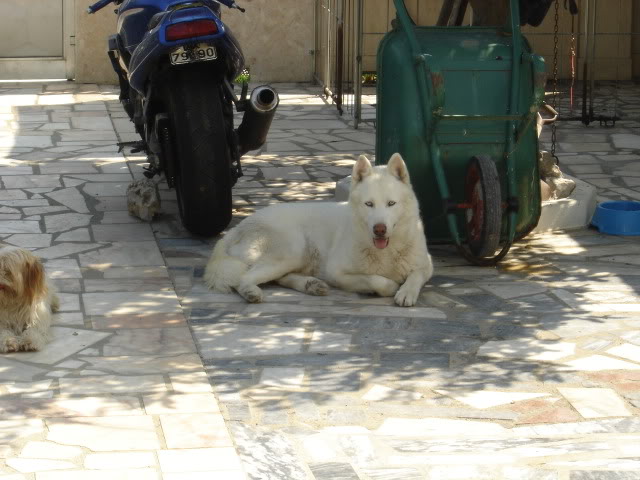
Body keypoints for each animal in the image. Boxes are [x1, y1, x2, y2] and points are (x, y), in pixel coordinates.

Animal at [205, 152, 436, 306]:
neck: (386, 253)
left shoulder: (426, 265)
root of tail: (236, 229)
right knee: (244, 278)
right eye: (369, 204)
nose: (379, 229)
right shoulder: (337, 272)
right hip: (293, 249)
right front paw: (392, 287)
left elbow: (415, 275)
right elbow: (381, 282)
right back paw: (251, 292)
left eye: (391, 204)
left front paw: (407, 292)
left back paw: (311, 285)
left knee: (279, 277)